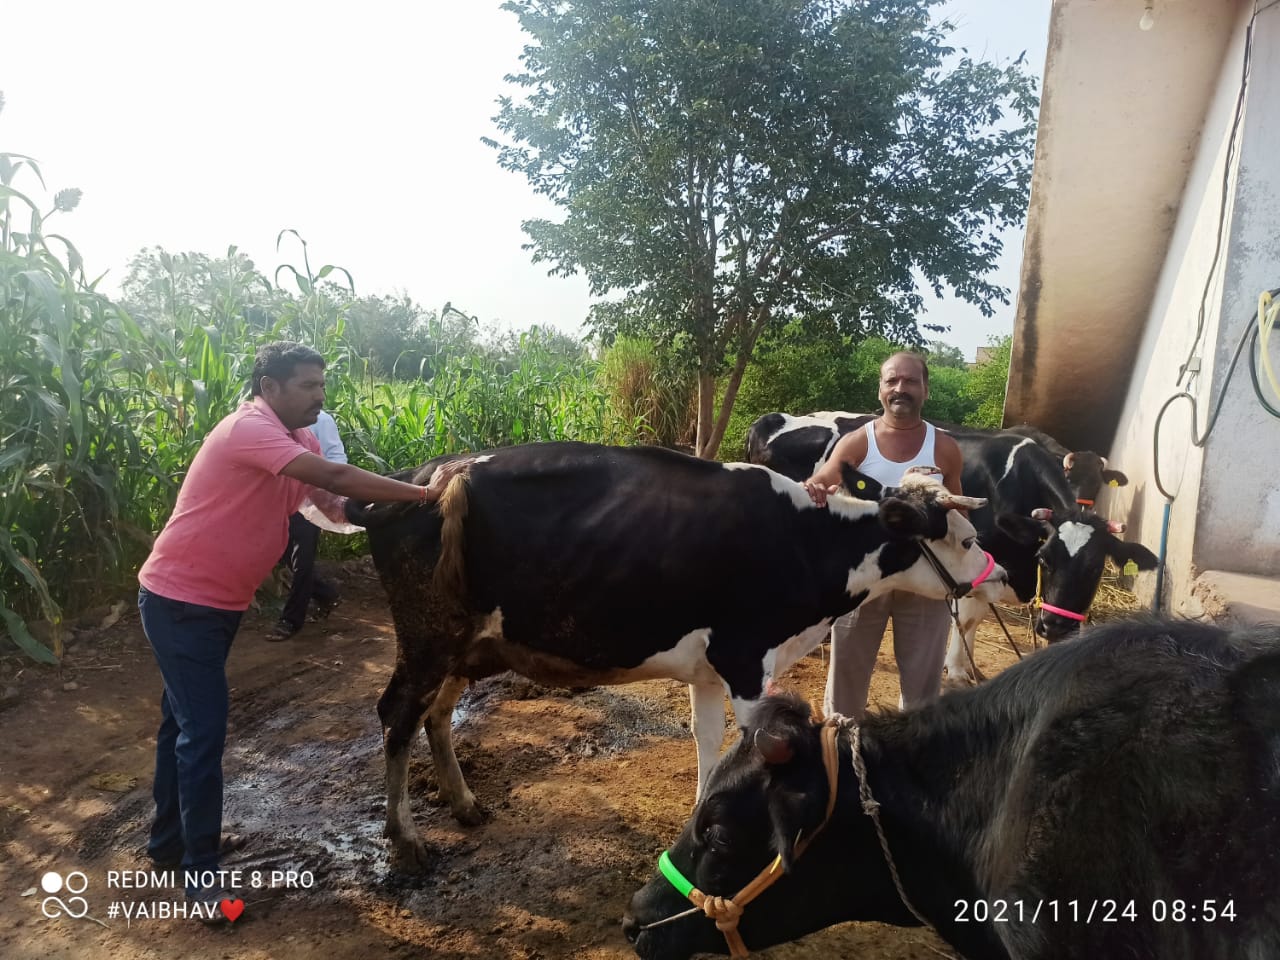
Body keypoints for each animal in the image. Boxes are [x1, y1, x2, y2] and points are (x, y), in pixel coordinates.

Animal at [345, 442, 1003, 870]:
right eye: (964, 539)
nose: (992, 574)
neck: (808, 545)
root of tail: (425, 475)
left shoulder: (709, 671)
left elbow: (708, 743)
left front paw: (702, 819)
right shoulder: (746, 659)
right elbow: (754, 745)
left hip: (466, 644)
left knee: (435, 716)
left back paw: (463, 803)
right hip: (429, 634)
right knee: (397, 715)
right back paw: (405, 838)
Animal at [742, 414, 1162, 686]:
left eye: (1096, 567)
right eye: (1046, 558)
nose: (1056, 626)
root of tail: (771, 418)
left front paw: (966, 664)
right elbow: (969, 614)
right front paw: (957, 669)